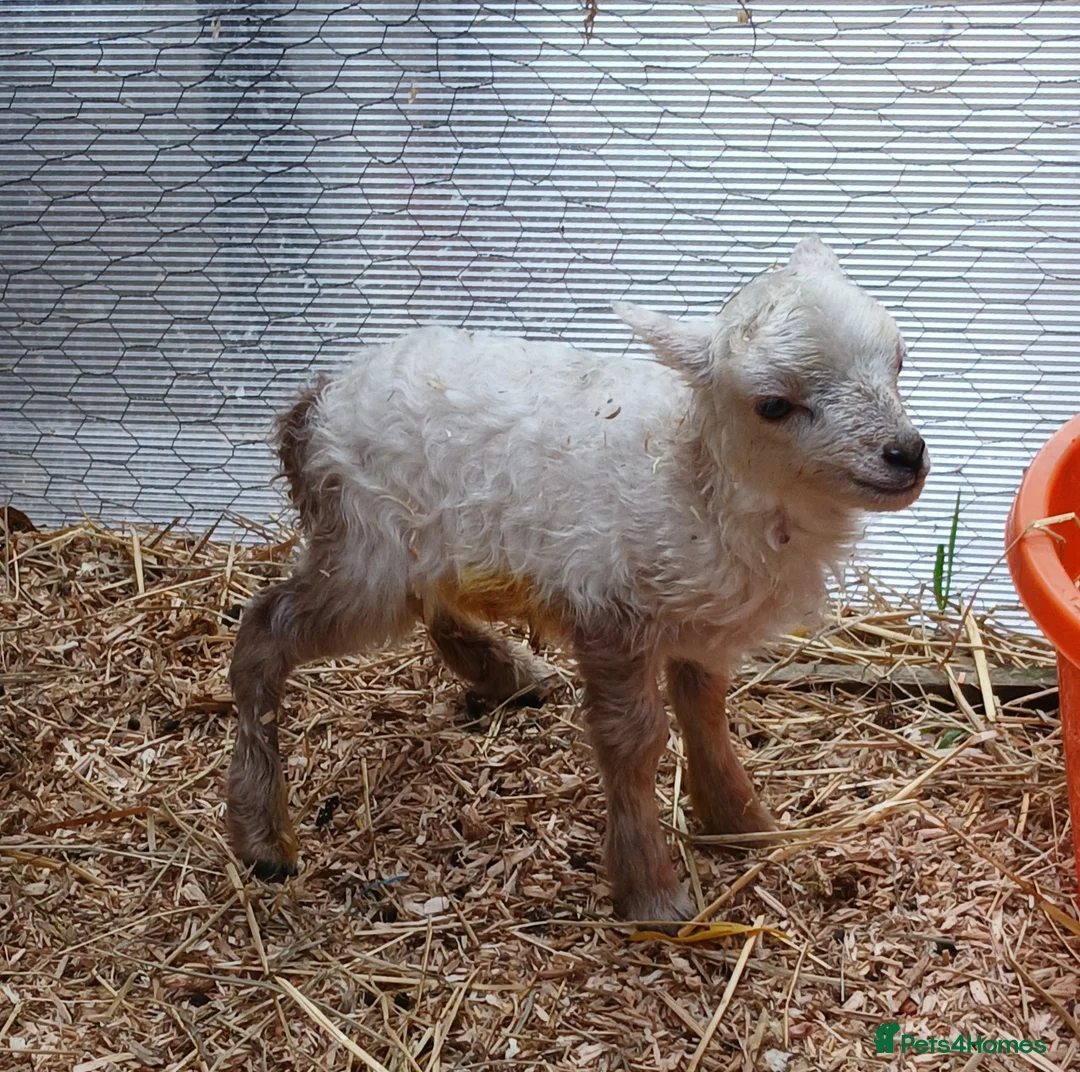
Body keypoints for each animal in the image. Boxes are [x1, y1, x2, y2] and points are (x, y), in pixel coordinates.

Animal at [226, 235, 929, 923]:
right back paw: (259, 831)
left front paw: (741, 821)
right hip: (364, 552)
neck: (692, 474)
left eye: (898, 362)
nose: (907, 455)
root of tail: (315, 400)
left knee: (435, 601)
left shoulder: (699, 616)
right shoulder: (609, 610)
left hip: (424, 538)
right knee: (264, 629)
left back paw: (507, 671)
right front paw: (650, 891)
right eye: (774, 405)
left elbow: (705, 712)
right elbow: (634, 740)